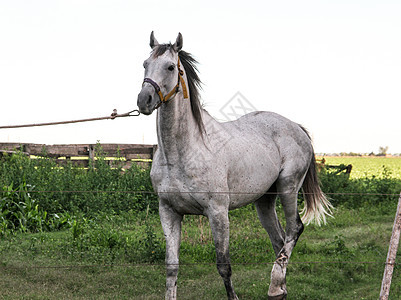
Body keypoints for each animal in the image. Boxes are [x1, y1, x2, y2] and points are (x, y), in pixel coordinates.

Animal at [138, 31, 332, 298]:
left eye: (169, 67)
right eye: (145, 64)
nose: (143, 100)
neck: (183, 153)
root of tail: (297, 128)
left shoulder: (218, 212)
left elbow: (223, 265)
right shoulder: (169, 212)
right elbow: (172, 268)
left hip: (288, 187)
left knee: (294, 229)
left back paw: (275, 285)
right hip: (264, 201)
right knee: (279, 240)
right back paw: (280, 287)